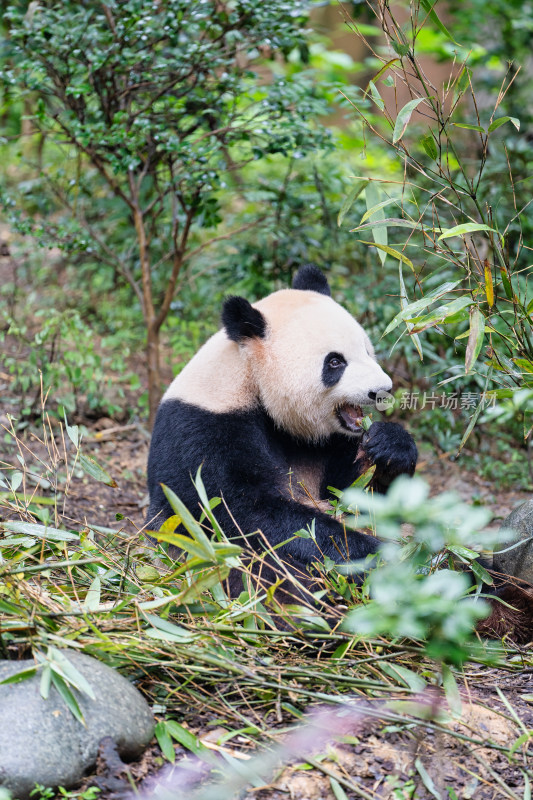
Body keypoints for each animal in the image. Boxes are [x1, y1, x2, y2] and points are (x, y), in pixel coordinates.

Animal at [145, 266, 416, 584]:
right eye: (335, 362)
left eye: (366, 350)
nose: (382, 390)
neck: (250, 375)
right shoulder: (203, 428)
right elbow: (245, 513)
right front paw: (369, 554)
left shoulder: (331, 442)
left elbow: (357, 495)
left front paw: (390, 446)